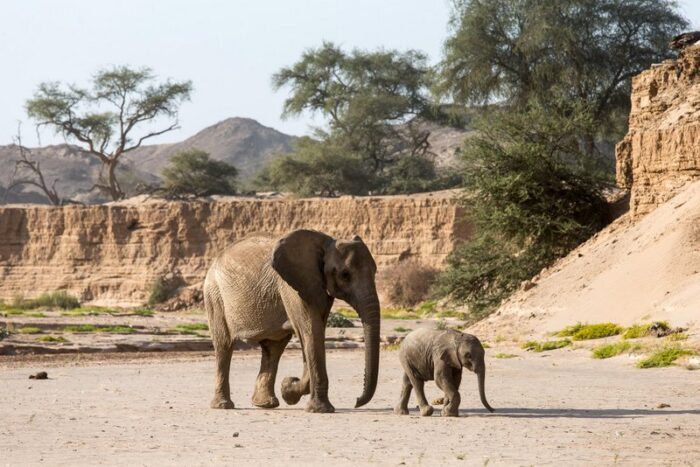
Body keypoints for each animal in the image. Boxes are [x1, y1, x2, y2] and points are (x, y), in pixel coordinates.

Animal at [202, 229, 380, 414]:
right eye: (345, 275)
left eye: (375, 271)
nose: (357, 401)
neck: (324, 243)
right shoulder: (292, 287)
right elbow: (311, 331)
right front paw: (309, 403)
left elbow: (315, 332)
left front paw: (288, 390)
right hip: (214, 295)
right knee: (224, 345)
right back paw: (223, 406)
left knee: (273, 347)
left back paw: (265, 404)